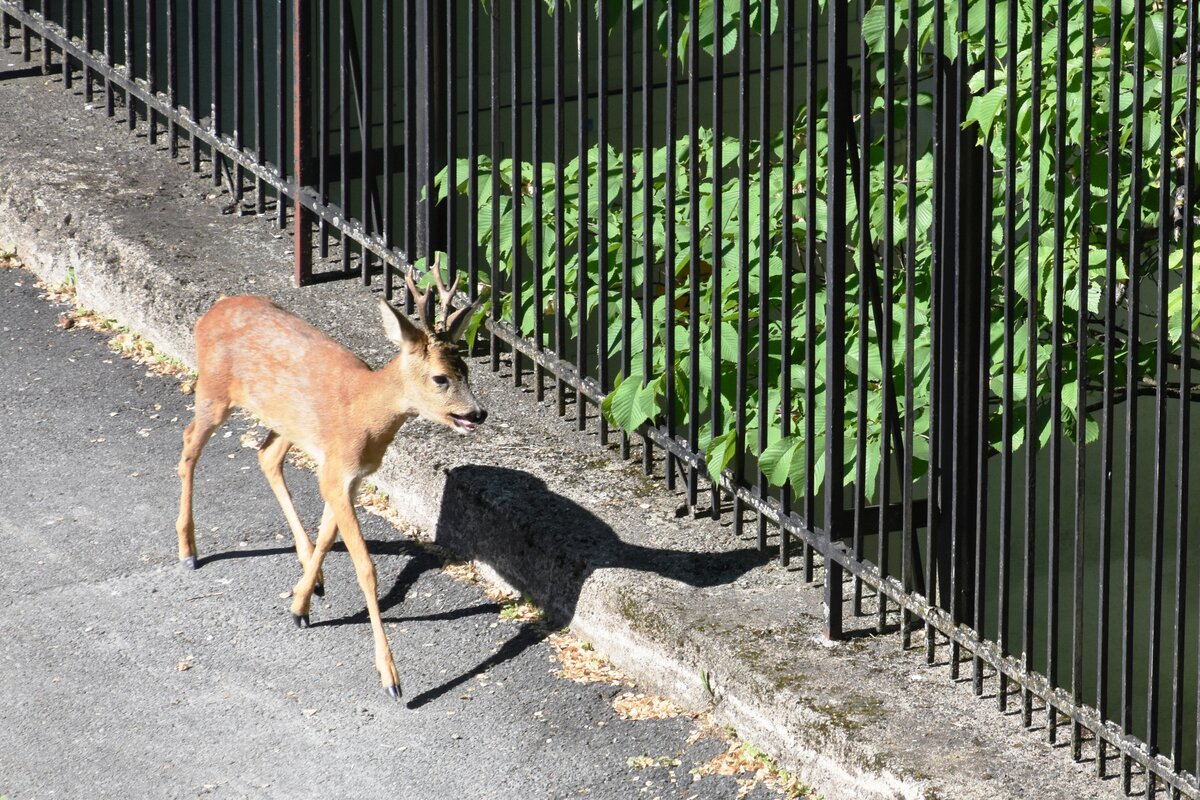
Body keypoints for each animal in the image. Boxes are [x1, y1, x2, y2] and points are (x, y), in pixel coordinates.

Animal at [174, 263, 482, 700]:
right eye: (441, 378)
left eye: (467, 371)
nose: (478, 413)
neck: (364, 412)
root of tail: (212, 311)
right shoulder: (337, 474)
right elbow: (366, 568)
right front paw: (391, 678)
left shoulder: (346, 477)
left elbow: (326, 538)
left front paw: (299, 605)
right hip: (214, 390)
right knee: (189, 446)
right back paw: (188, 549)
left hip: (286, 422)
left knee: (267, 456)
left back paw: (310, 577)